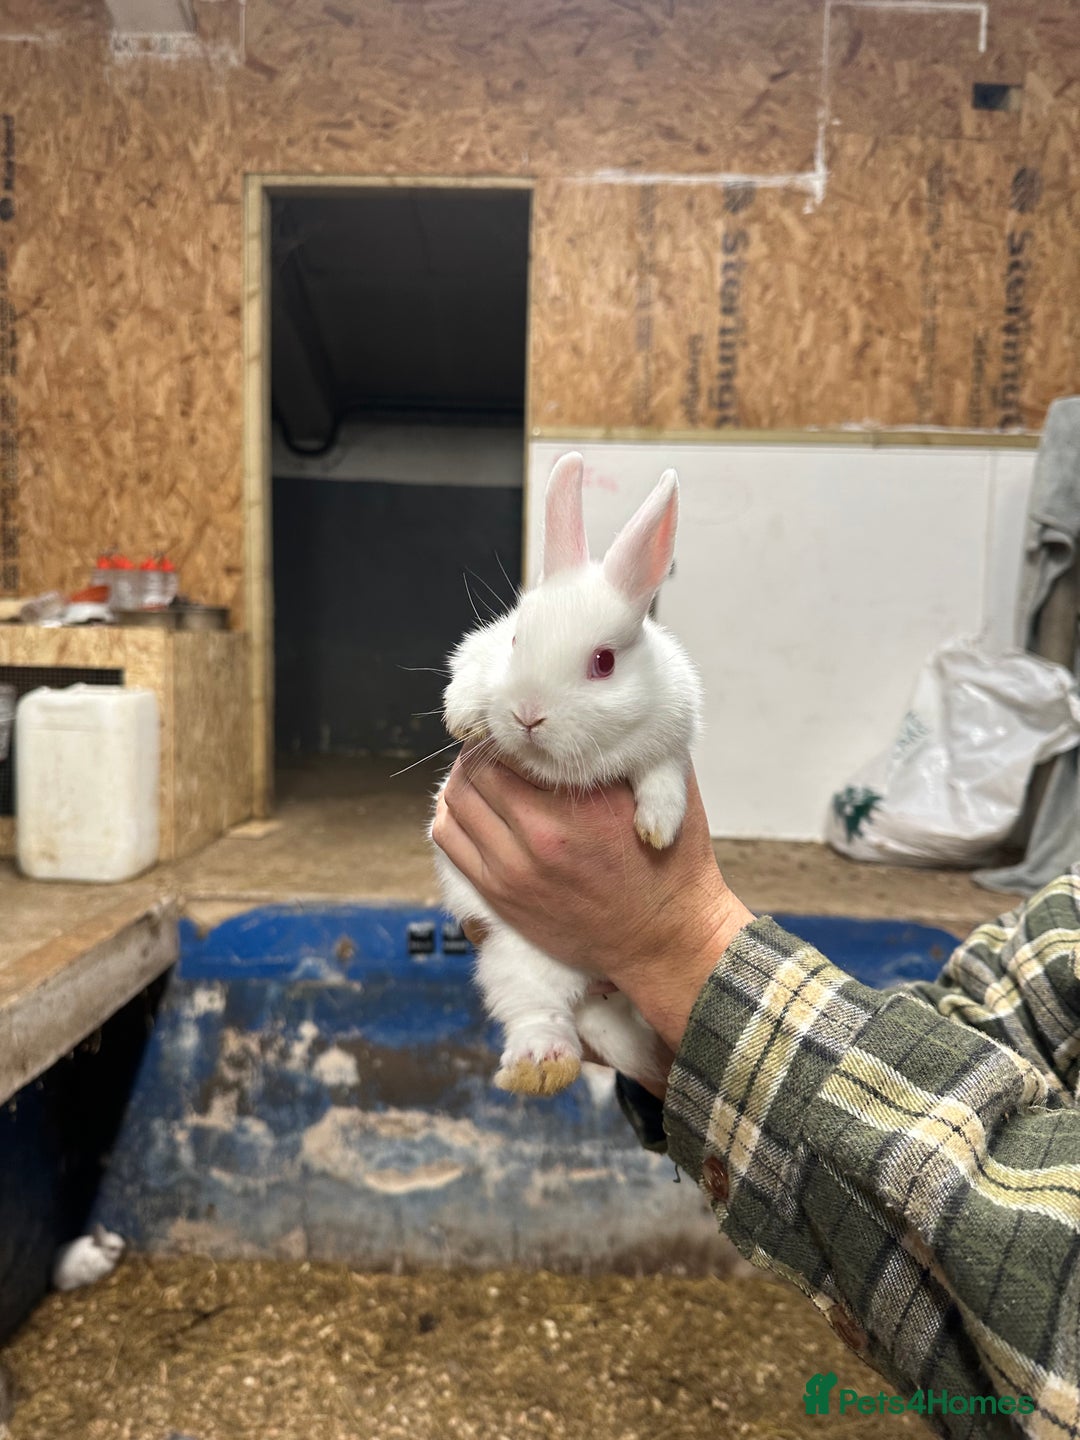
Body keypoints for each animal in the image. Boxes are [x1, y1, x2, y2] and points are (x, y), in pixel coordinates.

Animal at [431, 451, 703, 1097]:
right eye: (514, 639)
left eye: (603, 662)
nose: (527, 714)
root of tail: (594, 988)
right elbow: (467, 680)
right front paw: (464, 718)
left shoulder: (674, 732)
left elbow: (663, 774)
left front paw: (658, 830)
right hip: (518, 957)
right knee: (537, 1011)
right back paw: (540, 1067)